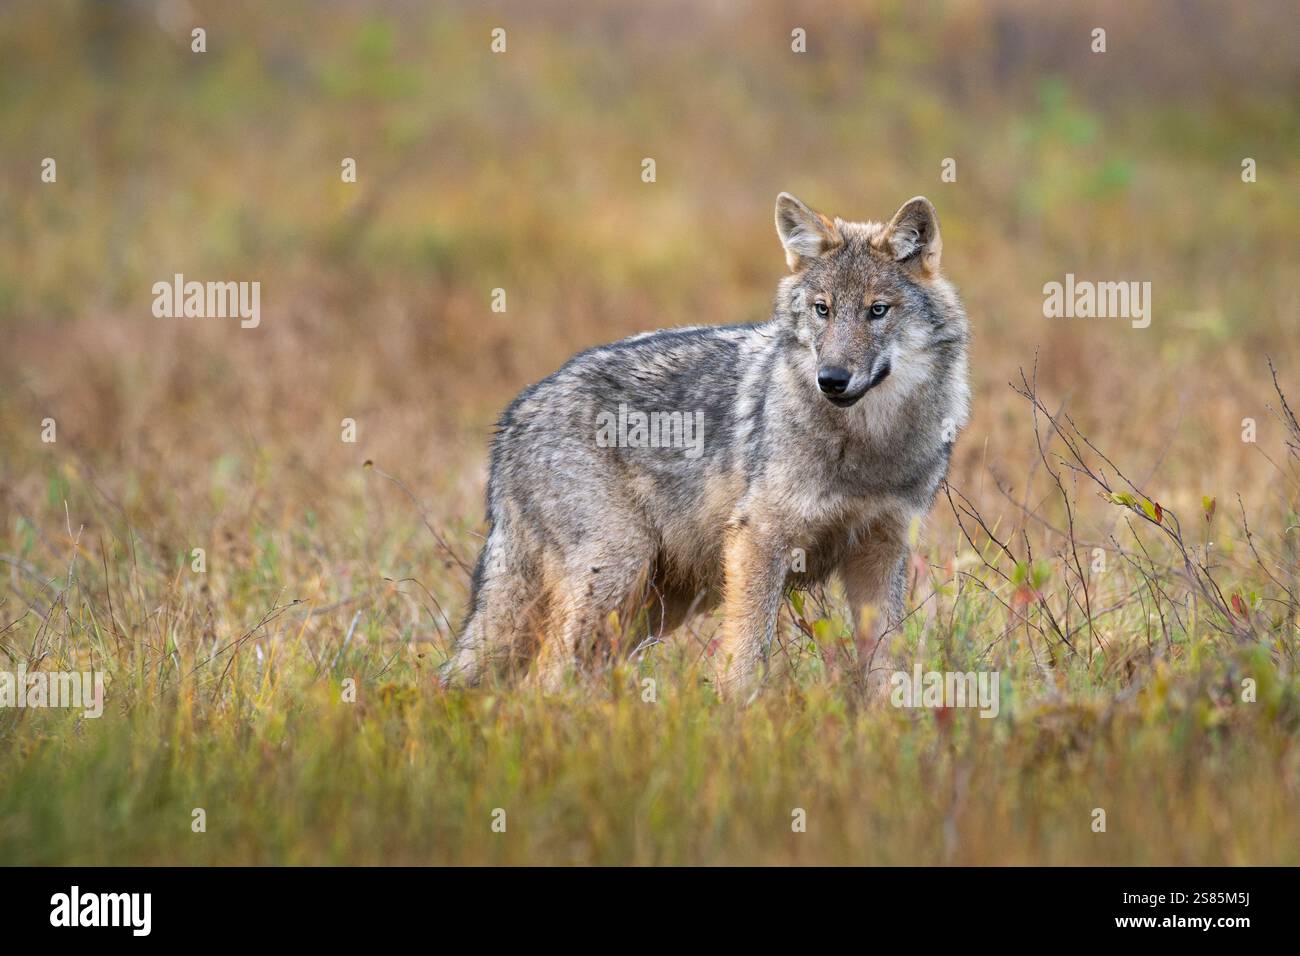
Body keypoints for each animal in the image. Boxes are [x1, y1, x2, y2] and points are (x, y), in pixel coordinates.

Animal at [444, 193, 970, 697]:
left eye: (877, 310)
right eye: (823, 309)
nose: (832, 380)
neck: (869, 444)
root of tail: (514, 415)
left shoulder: (881, 552)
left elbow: (887, 669)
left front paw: (890, 721)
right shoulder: (758, 540)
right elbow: (747, 656)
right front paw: (737, 716)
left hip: (652, 606)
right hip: (616, 572)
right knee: (542, 680)